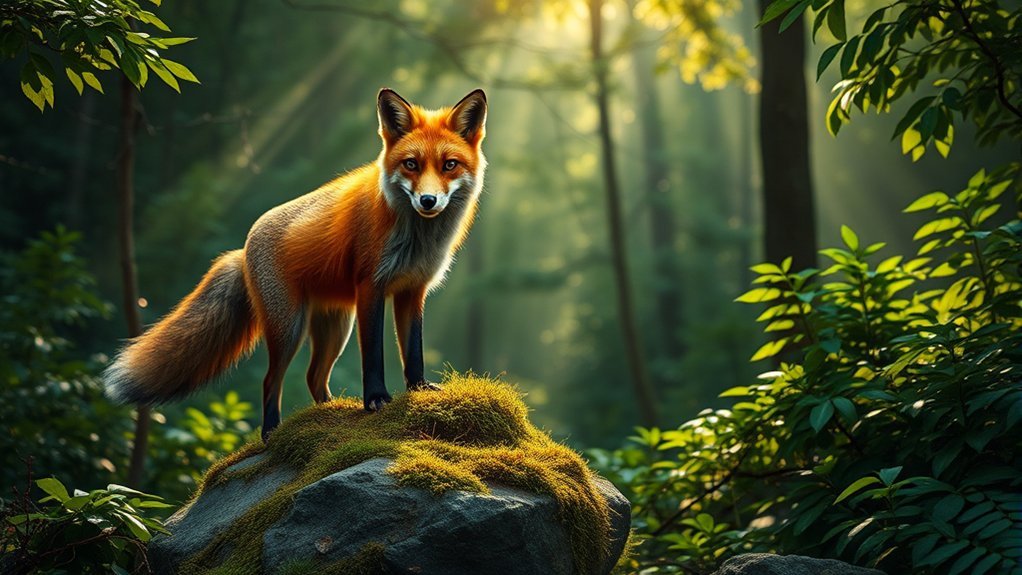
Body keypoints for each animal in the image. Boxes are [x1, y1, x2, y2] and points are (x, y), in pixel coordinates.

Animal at [104, 88, 488, 441]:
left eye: (449, 165)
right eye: (411, 164)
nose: (428, 200)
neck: (416, 239)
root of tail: (243, 247)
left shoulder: (413, 290)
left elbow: (414, 350)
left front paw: (419, 389)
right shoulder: (371, 287)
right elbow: (373, 355)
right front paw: (376, 400)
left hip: (335, 327)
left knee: (313, 377)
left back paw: (330, 413)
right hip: (289, 327)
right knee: (271, 380)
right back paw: (271, 432)